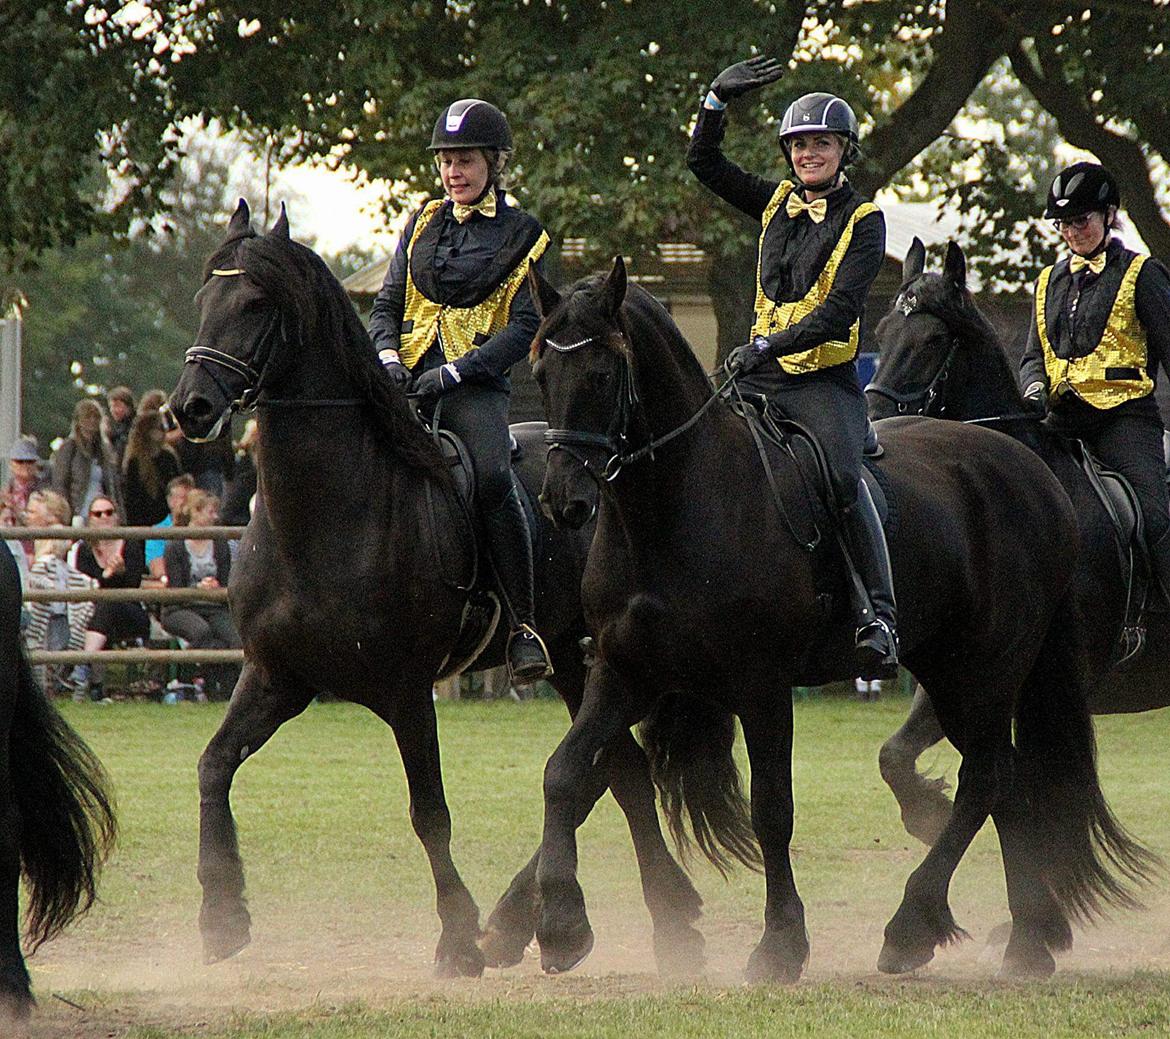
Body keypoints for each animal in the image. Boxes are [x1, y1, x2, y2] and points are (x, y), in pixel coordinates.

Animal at [166, 202, 702, 982]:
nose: (192, 406)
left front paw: (457, 937)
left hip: (596, 658)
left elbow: (430, 813)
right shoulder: (276, 678)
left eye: (256, 303)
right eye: (206, 296)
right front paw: (221, 914)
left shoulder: (406, 689)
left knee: (605, 770)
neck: (329, 514)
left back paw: (559, 920)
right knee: (620, 769)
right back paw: (642, 918)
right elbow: (213, 767)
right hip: (578, 661)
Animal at [870, 239, 1170, 847]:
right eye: (882, 333)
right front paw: (929, 814)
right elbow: (895, 755)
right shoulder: (965, 671)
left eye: (932, 341)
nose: (872, 427)